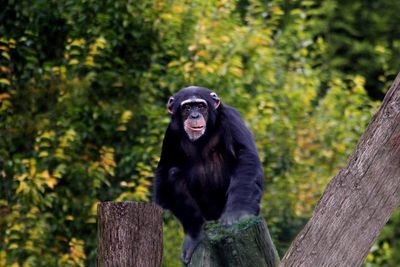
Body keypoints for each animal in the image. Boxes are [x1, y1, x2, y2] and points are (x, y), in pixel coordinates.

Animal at [155, 87, 264, 264]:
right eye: (187, 107)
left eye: (201, 106)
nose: (194, 115)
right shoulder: (171, 132)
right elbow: (165, 170)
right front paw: (193, 234)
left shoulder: (231, 118)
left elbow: (245, 156)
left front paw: (237, 214)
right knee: (173, 173)